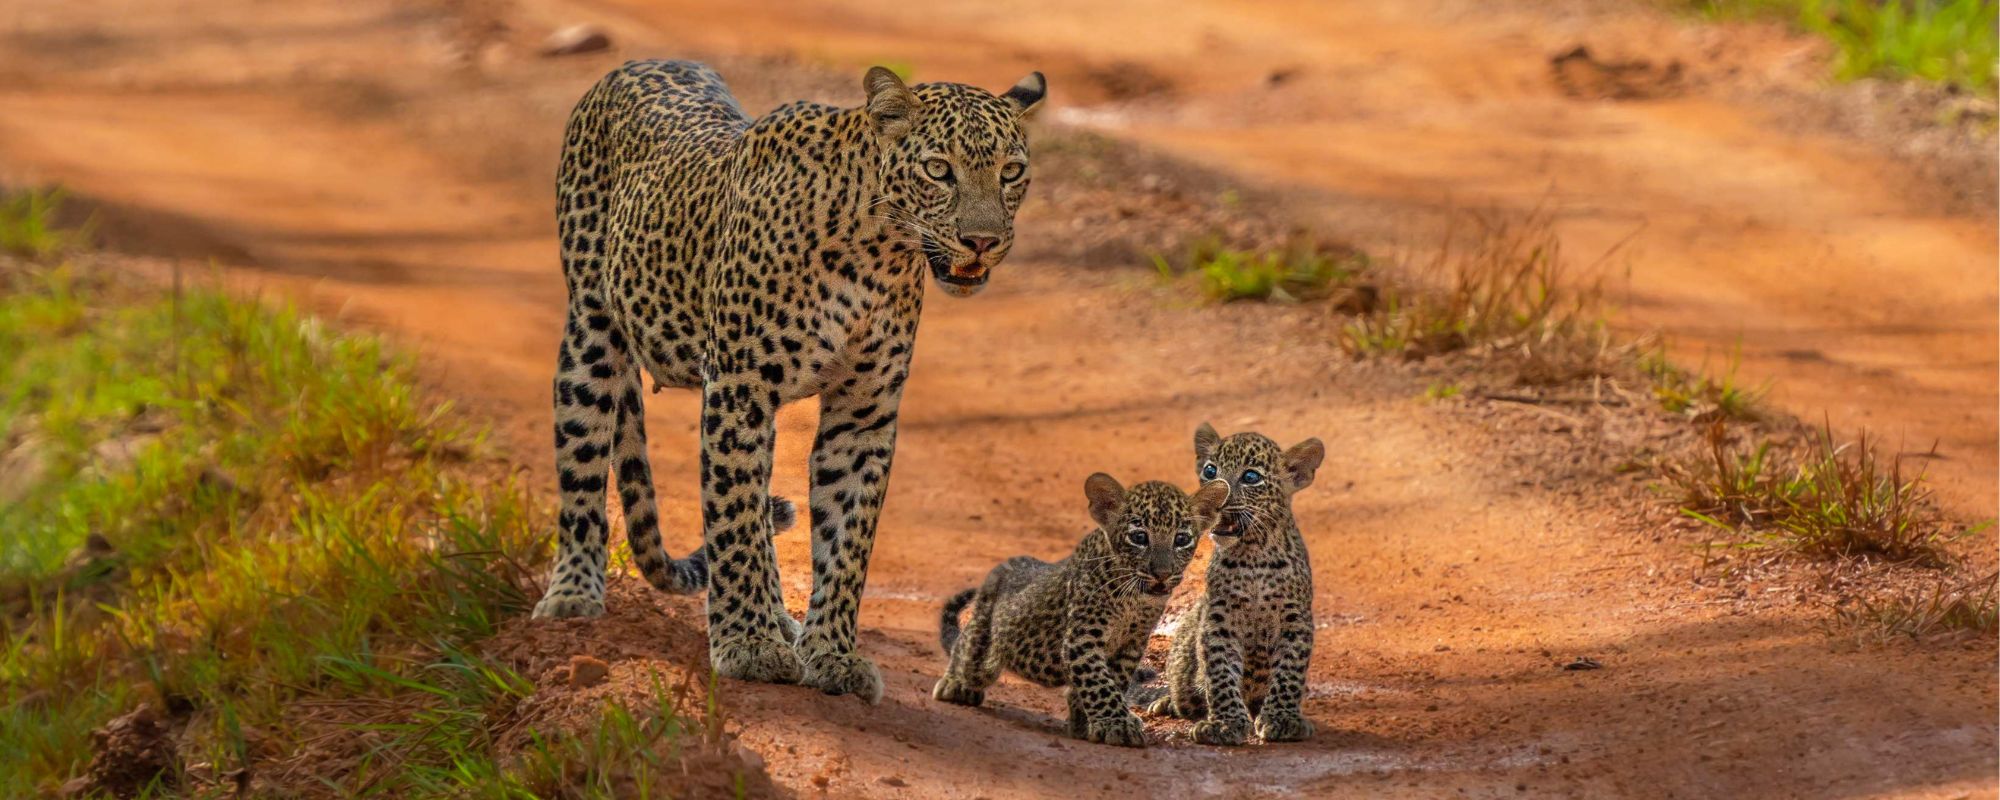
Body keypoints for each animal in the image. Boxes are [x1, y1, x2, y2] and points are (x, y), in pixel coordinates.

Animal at [529, 59, 1047, 705]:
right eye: (938, 169)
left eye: (1011, 172)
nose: (983, 241)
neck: (876, 254)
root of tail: (634, 65)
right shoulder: (739, 387)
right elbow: (732, 521)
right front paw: (747, 646)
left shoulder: (862, 415)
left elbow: (846, 541)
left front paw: (832, 655)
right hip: (592, 334)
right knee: (585, 471)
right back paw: (574, 593)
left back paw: (782, 619)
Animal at [931, 474, 1228, 747]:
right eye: (1139, 537)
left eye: (1181, 539)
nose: (1162, 574)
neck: (1134, 598)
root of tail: (1001, 567)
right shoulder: (1082, 637)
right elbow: (1098, 682)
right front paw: (1118, 725)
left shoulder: (1131, 644)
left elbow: (1113, 680)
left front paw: (1085, 723)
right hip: (983, 635)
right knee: (966, 650)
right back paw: (955, 685)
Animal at [1146, 423, 1326, 746]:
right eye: (1210, 470)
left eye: (1250, 477)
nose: (1217, 496)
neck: (1252, 556)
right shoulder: (1218, 619)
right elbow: (1219, 672)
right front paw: (1224, 724)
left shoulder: (1296, 618)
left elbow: (1289, 671)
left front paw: (1282, 719)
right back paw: (1165, 703)